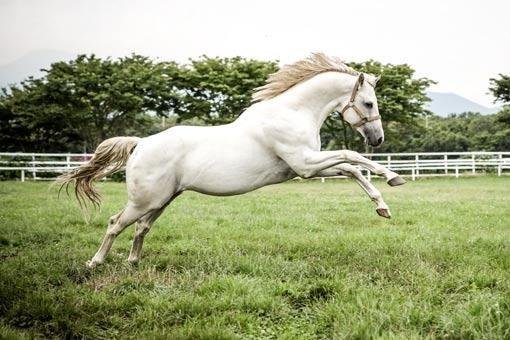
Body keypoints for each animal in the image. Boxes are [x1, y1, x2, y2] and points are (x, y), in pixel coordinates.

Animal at [58, 53, 406, 268]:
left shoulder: (303, 167)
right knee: (115, 223)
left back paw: (133, 263)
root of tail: (140, 143)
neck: (291, 113)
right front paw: (393, 177)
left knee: (141, 227)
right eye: (368, 103)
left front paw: (382, 206)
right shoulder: (305, 164)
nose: (378, 139)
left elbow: (350, 169)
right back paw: (95, 262)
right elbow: (352, 157)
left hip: (161, 201)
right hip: (145, 200)